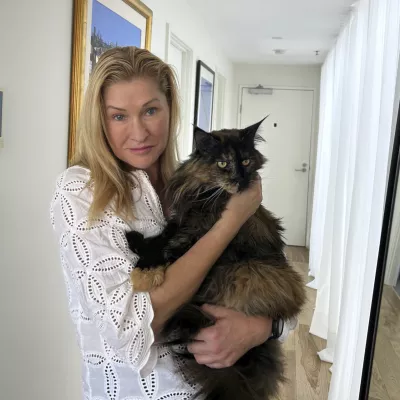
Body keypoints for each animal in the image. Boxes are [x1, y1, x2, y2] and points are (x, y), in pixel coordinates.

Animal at [126, 120, 304, 400]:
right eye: (222, 163)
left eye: (246, 161)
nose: (240, 180)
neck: (206, 193)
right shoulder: (183, 221)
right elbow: (161, 238)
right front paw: (138, 249)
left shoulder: (195, 233)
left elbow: (169, 249)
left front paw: (145, 270)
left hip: (248, 271)